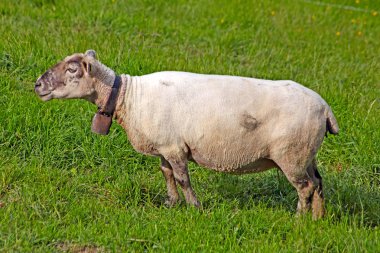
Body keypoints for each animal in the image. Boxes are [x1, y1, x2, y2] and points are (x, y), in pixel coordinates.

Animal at [35, 50, 338, 219]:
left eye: (72, 69)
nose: (37, 85)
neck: (129, 97)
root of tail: (325, 109)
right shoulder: (165, 145)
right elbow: (167, 174)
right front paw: (171, 204)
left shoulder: (175, 147)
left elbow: (182, 178)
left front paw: (194, 207)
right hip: (306, 154)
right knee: (318, 183)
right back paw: (318, 219)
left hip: (291, 154)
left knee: (305, 187)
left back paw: (298, 220)